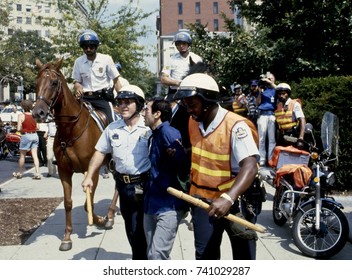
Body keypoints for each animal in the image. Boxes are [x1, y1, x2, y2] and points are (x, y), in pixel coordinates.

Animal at [32, 58, 113, 250]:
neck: (71, 129)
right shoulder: (64, 171)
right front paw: (67, 237)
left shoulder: (93, 171)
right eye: (35, 83)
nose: (38, 112)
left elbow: (88, 203)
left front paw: (99, 220)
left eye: (54, 83)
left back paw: (110, 215)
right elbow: (68, 202)